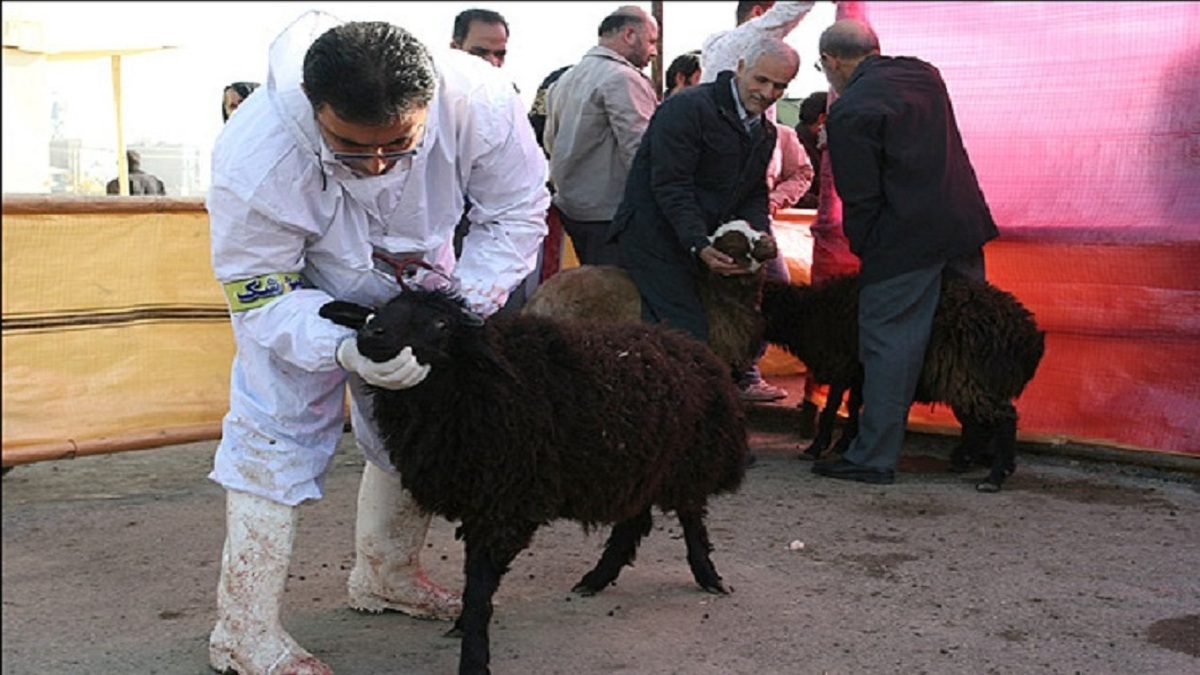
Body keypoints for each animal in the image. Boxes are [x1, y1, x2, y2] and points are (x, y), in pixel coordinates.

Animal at [319, 288, 748, 672]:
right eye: (379, 310)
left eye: (440, 324)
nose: (372, 335)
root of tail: (689, 343)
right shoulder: (481, 500)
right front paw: (464, 628)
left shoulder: (501, 507)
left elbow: (479, 587)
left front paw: (473, 656)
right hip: (638, 466)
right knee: (635, 519)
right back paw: (597, 577)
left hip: (688, 460)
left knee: (691, 518)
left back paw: (708, 576)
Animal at [763, 271, 1046, 487]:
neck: (809, 314)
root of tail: (1028, 337)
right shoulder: (860, 370)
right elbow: (853, 405)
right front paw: (846, 441)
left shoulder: (844, 363)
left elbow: (832, 408)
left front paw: (816, 447)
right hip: (965, 379)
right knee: (979, 422)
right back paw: (966, 461)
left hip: (968, 377)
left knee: (1004, 418)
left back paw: (995, 477)